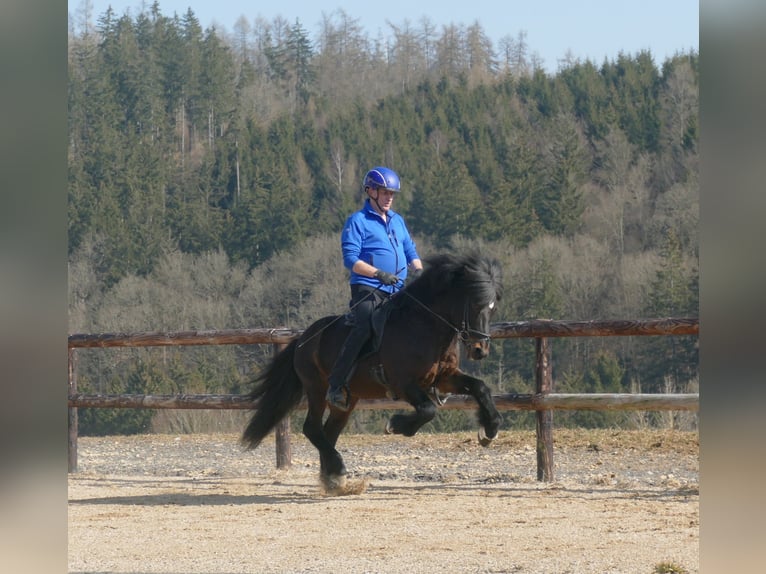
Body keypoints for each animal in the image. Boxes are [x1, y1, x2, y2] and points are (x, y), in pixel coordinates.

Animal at [241, 251, 503, 492]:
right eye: (476, 304)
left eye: (493, 308)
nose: (480, 350)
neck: (423, 327)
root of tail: (303, 339)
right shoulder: (403, 383)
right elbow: (428, 410)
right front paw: (396, 425)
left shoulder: (444, 378)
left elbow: (480, 387)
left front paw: (489, 430)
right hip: (317, 388)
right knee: (312, 428)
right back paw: (338, 470)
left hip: (348, 399)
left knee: (329, 431)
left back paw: (333, 479)